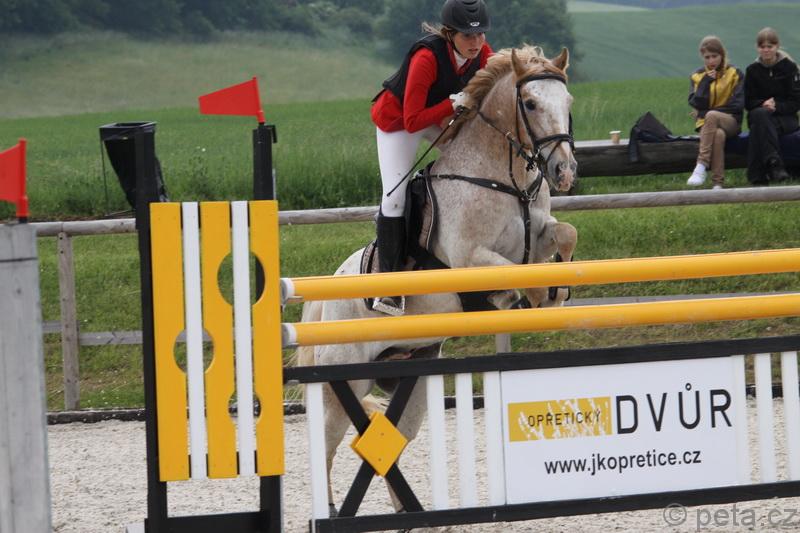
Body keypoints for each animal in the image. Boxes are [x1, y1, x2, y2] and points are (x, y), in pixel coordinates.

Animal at [295, 45, 578, 514]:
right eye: (531, 103)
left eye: (568, 103)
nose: (564, 171)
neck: (502, 178)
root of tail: (326, 296)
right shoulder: (470, 257)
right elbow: (513, 274)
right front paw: (528, 296)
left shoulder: (537, 233)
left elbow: (564, 236)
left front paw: (553, 293)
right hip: (343, 383)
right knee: (327, 445)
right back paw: (331, 511)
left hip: (413, 378)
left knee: (387, 442)